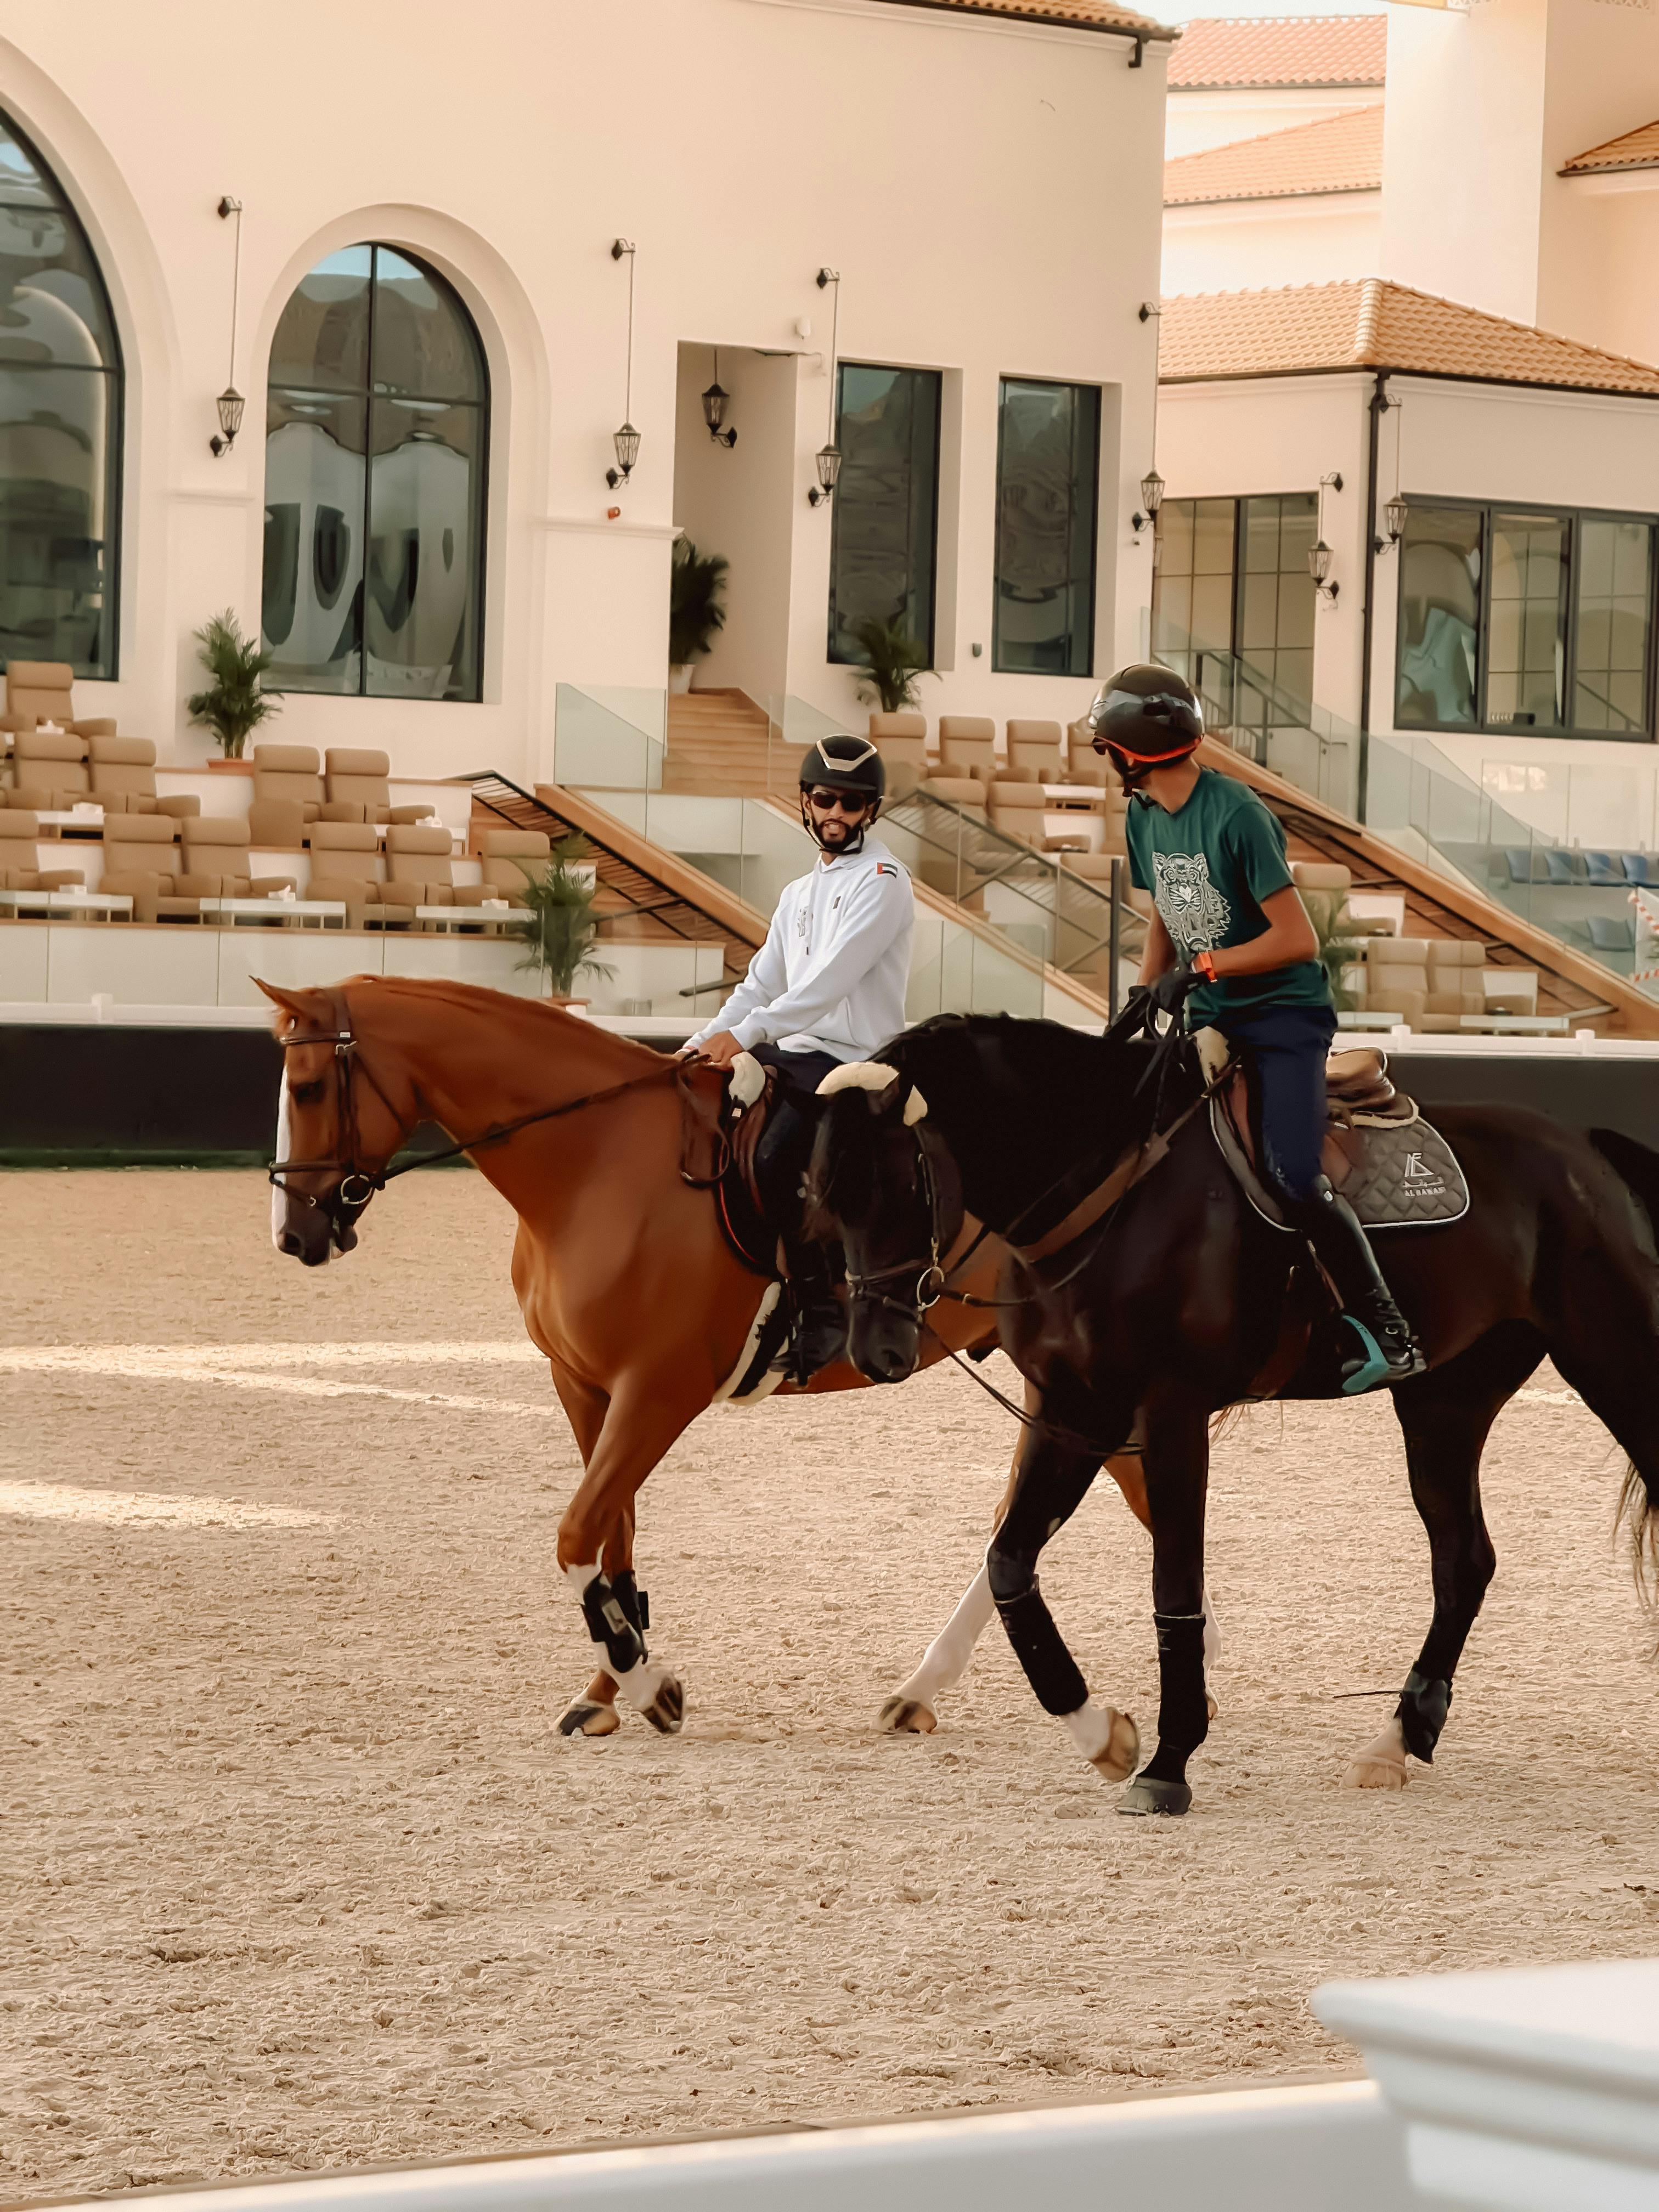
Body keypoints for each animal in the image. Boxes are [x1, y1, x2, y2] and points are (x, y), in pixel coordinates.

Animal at [258, 974, 1155, 1745]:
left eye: (309, 1090)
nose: (294, 1235)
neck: (597, 1161)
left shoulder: (660, 1391)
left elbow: (577, 1533)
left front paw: (650, 1686)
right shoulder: (585, 1386)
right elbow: (612, 1540)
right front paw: (606, 1692)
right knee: (1025, 1517)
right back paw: (925, 1691)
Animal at [806, 1011, 1659, 1814]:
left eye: (899, 1185)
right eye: (822, 1197)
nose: (877, 1350)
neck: (1110, 1190)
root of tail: (1586, 1147)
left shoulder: (1170, 1412)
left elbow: (1173, 1588)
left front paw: (1168, 1765)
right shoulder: (1075, 1405)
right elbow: (1011, 1563)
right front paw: (1103, 1734)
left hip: (1615, 1364)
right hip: (1446, 1401)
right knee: (1463, 1562)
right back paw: (1398, 1738)